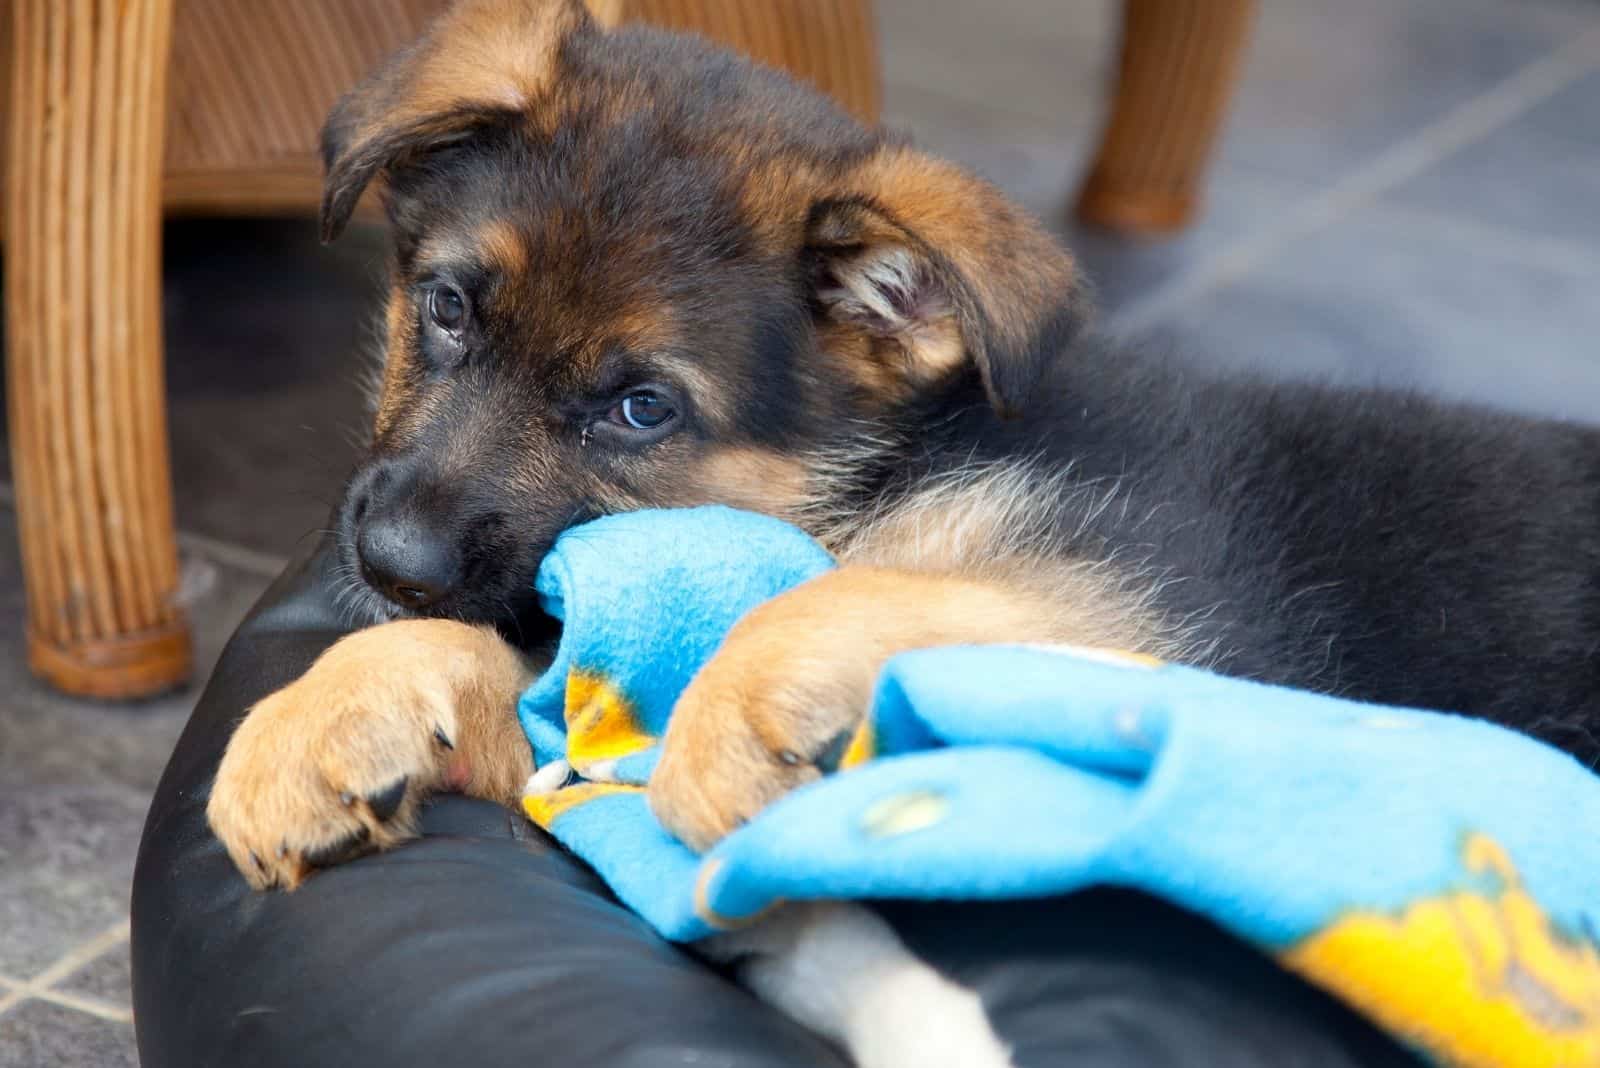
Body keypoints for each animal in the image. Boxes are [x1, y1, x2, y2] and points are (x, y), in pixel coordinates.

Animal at [206, 0, 1593, 1061]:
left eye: (641, 409)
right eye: (445, 310)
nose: (388, 564)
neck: (883, 465)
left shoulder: (1174, 619)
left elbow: (831, 599)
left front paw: (730, 750)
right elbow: (529, 661)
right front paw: (317, 718)